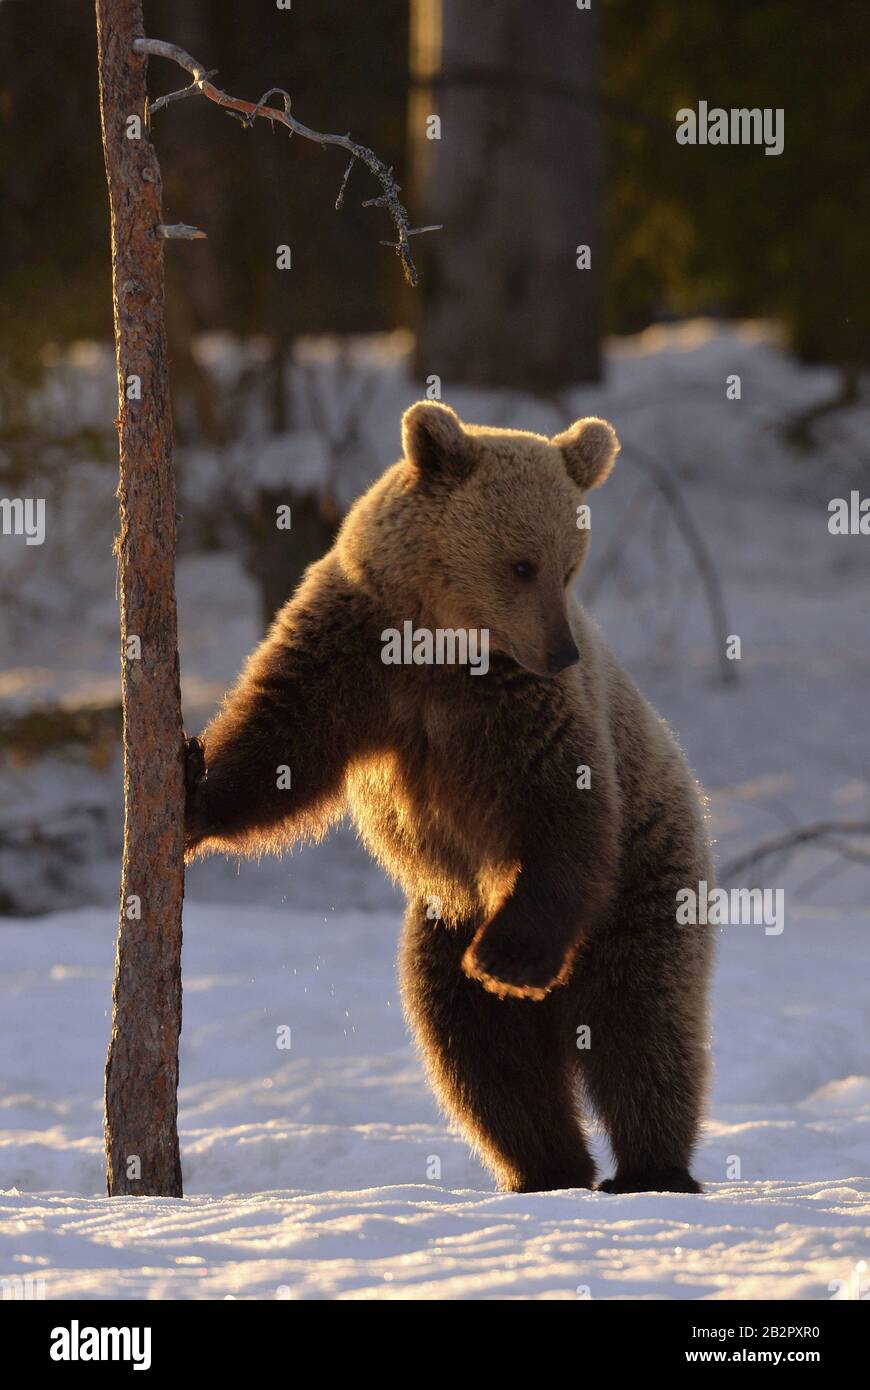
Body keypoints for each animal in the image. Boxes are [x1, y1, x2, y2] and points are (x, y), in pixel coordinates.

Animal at [184, 401, 715, 1195]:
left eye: (569, 566)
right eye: (522, 564)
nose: (561, 650)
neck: (440, 643)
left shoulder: (523, 714)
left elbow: (563, 813)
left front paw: (512, 959)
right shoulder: (352, 653)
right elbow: (278, 747)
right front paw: (192, 789)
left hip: (644, 877)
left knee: (641, 1019)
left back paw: (650, 1168)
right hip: (442, 922)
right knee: (477, 1051)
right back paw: (547, 1168)